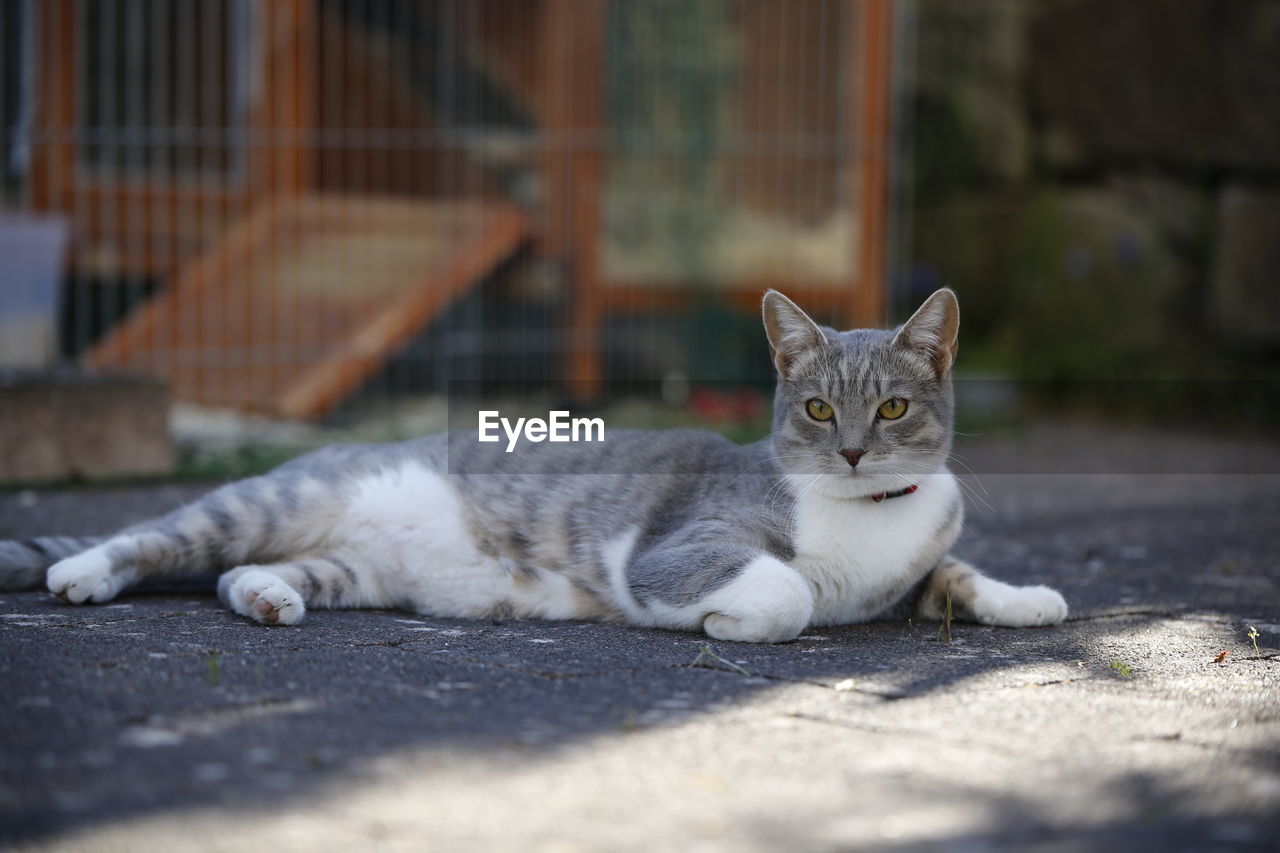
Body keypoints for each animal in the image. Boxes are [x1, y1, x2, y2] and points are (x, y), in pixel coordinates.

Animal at [0, 289, 1070, 640]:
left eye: (890, 408)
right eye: (816, 408)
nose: (850, 448)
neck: (865, 515)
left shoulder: (917, 557)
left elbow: (952, 572)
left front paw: (1026, 597)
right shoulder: (676, 547)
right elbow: (785, 590)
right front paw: (731, 618)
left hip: (350, 569)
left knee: (240, 573)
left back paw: (267, 596)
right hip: (270, 497)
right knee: (155, 534)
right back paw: (80, 571)